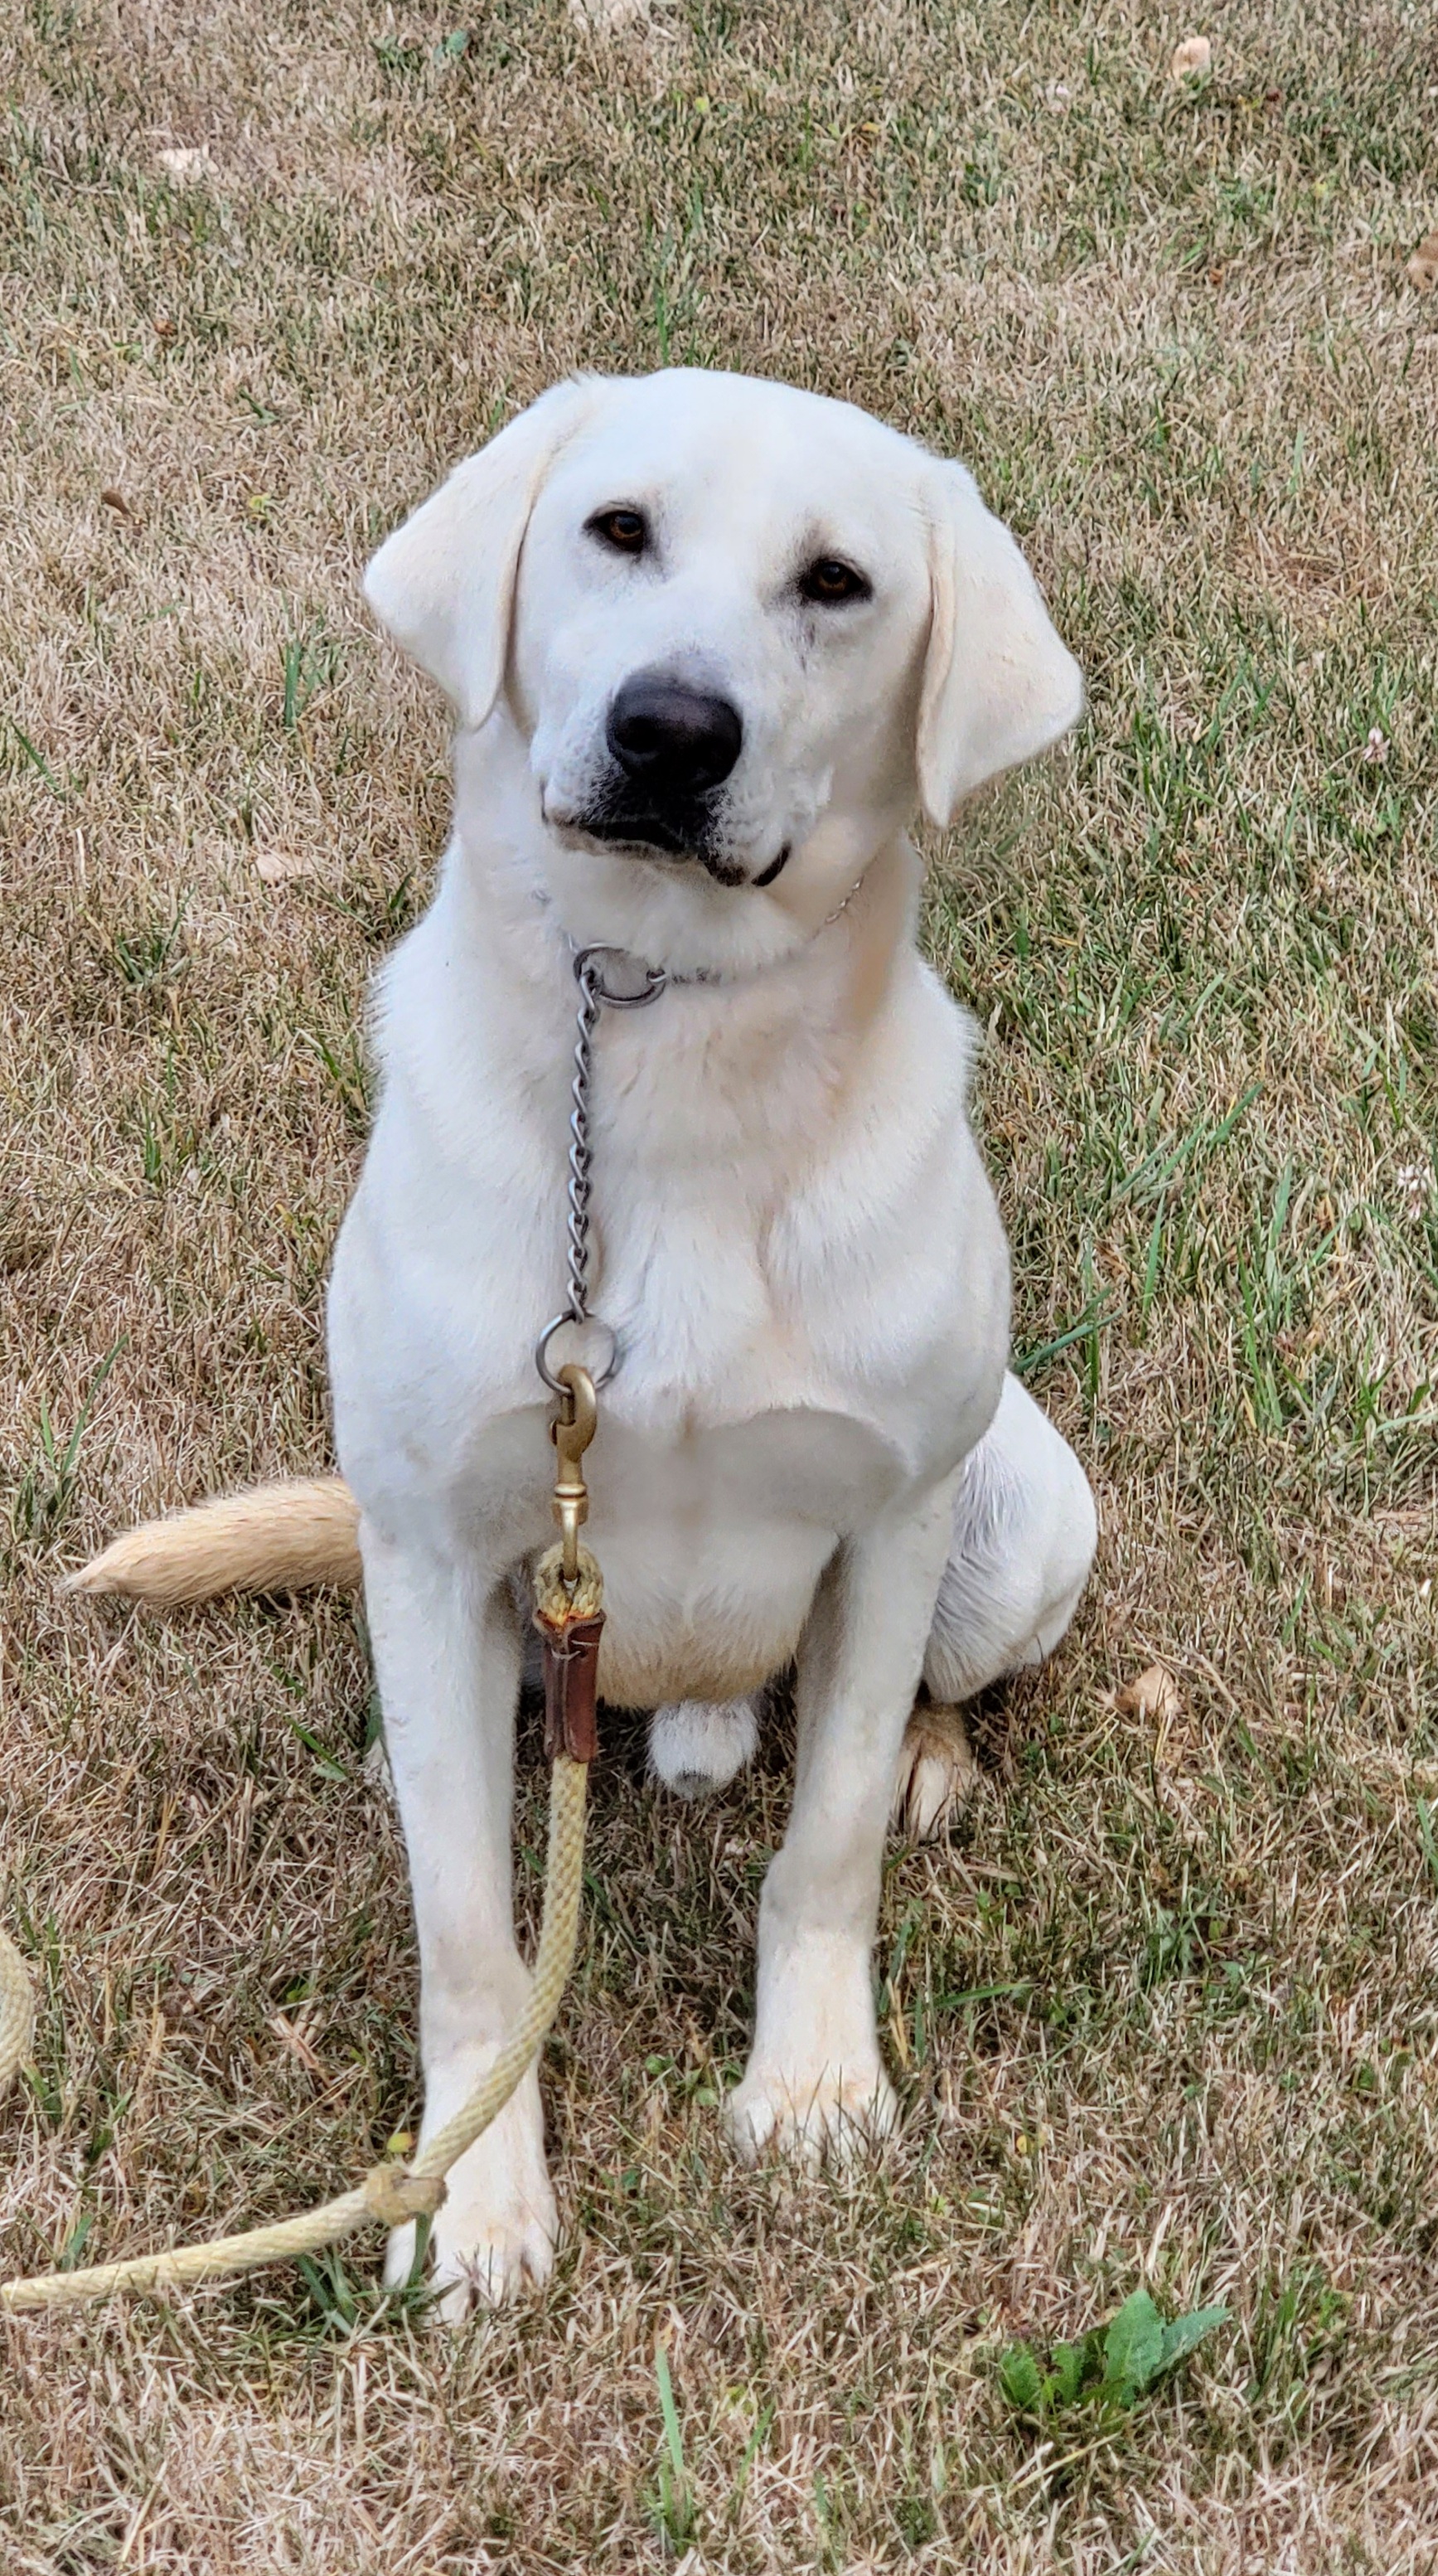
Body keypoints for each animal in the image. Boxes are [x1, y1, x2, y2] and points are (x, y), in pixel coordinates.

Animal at [75, 368, 1092, 2318]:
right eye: (618, 528)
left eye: (837, 582)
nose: (671, 730)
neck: (665, 1039)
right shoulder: (433, 1531)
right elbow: (473, 1928)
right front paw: (475, 2195)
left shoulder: (893, 1513)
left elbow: (827, 1843)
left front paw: (814, 2087)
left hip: (1027, 1515)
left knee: (911, 1695)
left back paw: (928, 1757)